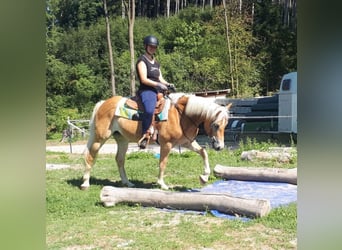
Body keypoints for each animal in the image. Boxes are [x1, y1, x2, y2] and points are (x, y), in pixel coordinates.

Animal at [80, 92, 231, 189]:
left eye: (226, 124)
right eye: (216, 124)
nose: (220, 146)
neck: (181, 115)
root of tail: (103, 103)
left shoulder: (186, 142)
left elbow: (203, 152)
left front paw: (204, 177)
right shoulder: (166, 144)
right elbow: (163, 163)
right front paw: (162, 184)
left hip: (122, 140)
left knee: (119, 159)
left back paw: (127, 183)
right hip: (100, 138)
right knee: (90, 156)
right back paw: (85, 183)